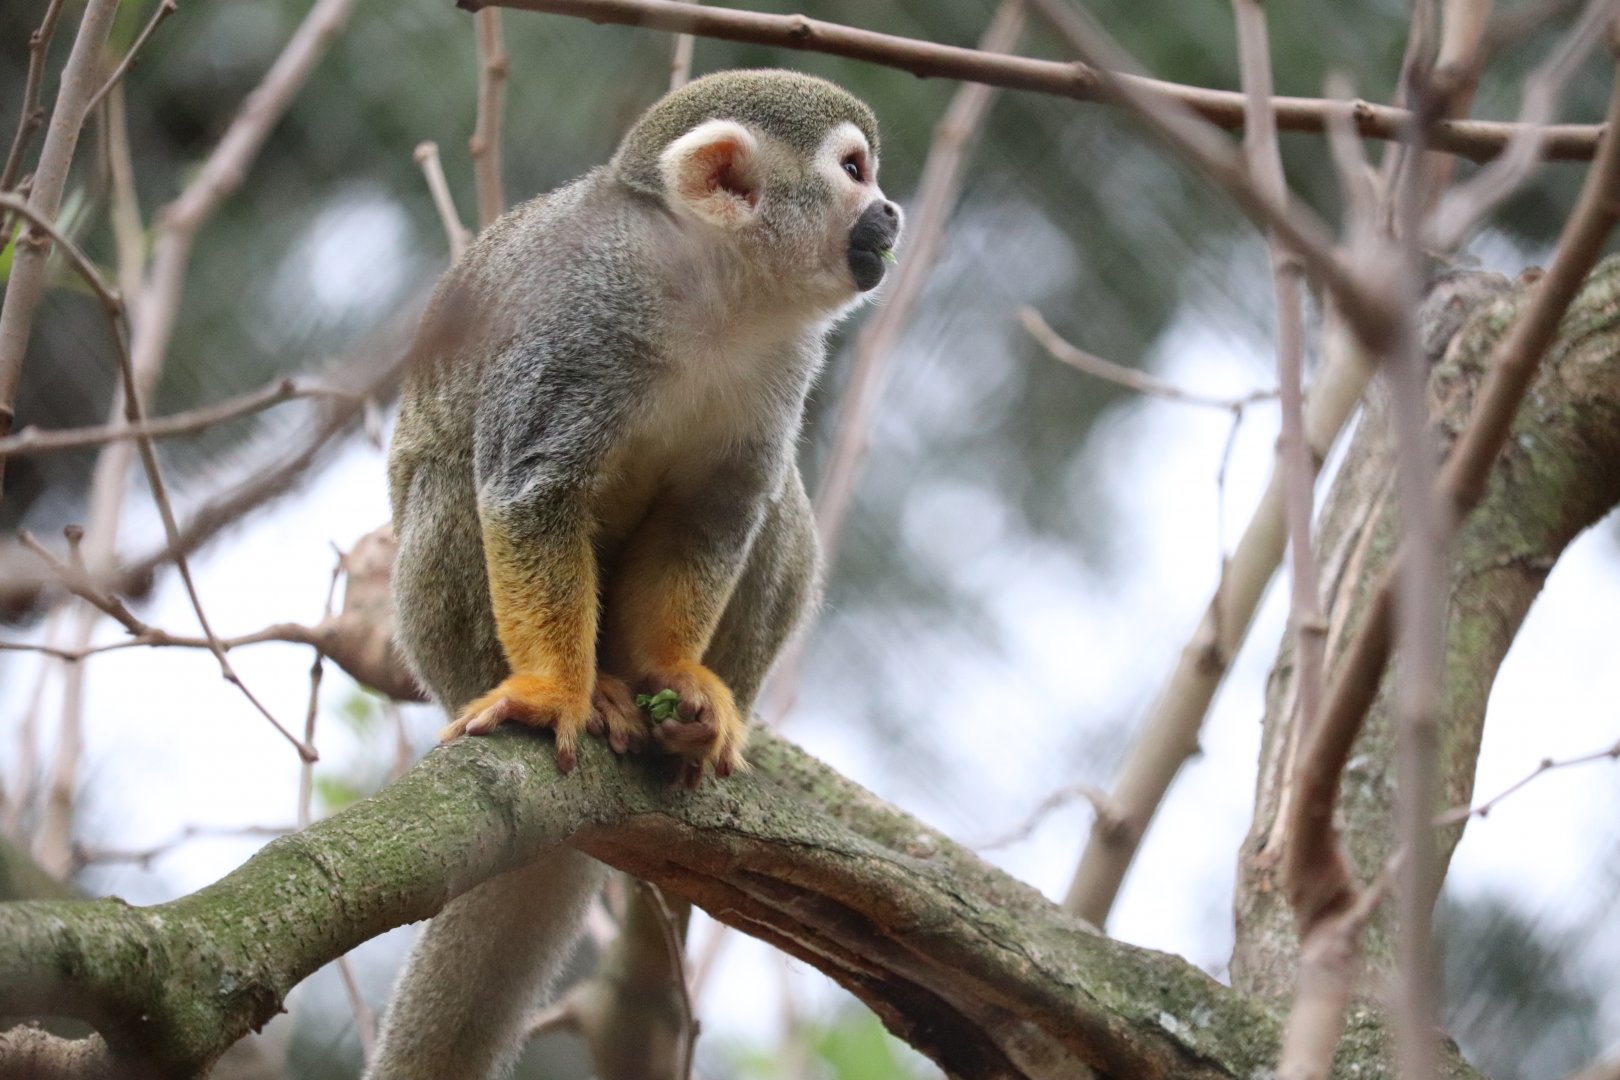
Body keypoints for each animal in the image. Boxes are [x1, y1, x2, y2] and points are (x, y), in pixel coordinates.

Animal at [366, 70, 901, 1080]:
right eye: (854, 171)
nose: (891, 211)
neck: (715, 295)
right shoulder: (579, 324)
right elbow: (530, 490)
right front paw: (550, 691)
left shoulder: (784, 362)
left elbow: (715, 517)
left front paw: (674, 678)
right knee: (459, 480)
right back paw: (574, 689)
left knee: (781, 505)